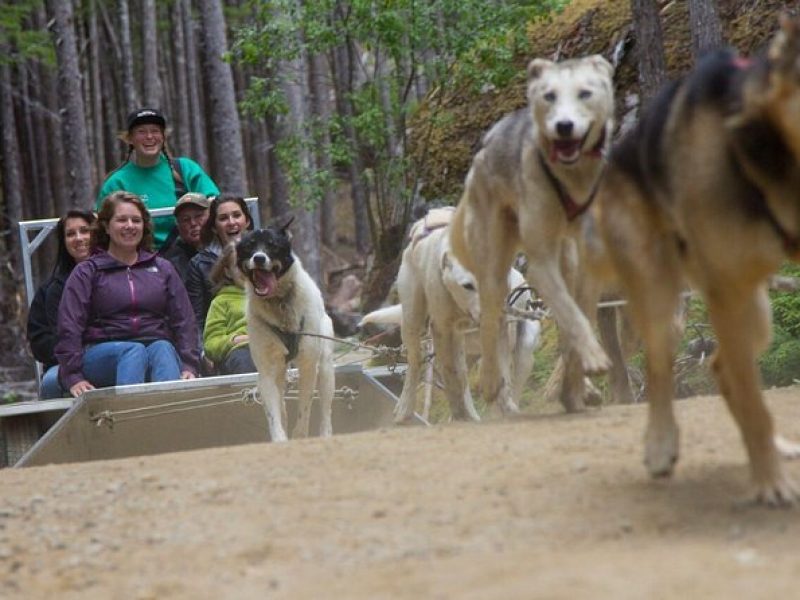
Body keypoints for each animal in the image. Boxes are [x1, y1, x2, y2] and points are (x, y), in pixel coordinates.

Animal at [238, 220, 338, 440]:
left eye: (273, 245)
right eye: (249, 246)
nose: (259, 258)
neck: (280, 303)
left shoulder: (309, 365)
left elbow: (305, 409)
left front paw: (299, 434)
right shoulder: (266, 371)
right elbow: (274, 414)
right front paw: (279, 437)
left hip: (325, 367)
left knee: (326, 410)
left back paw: (325, 433)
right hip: (279, 372)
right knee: (281, 403)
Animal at [454, 54, 616, 414]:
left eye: (585, 93)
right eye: (549, 96)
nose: (564, 126)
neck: (571, 180)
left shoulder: (588, 266)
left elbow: (579, 317)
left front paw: (576, 383)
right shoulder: (541, 267)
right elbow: (571, 315)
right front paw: (592, 359)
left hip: (567, 260)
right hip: (494, 266)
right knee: (491, 318)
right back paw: (490, 381)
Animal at [596, 16, 800, 504]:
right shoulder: (727, 291)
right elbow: (753, 403)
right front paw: (770, 485)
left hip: (755, 311)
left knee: (721, 366)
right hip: (660, 301)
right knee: (660, 372)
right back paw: (661, 444)